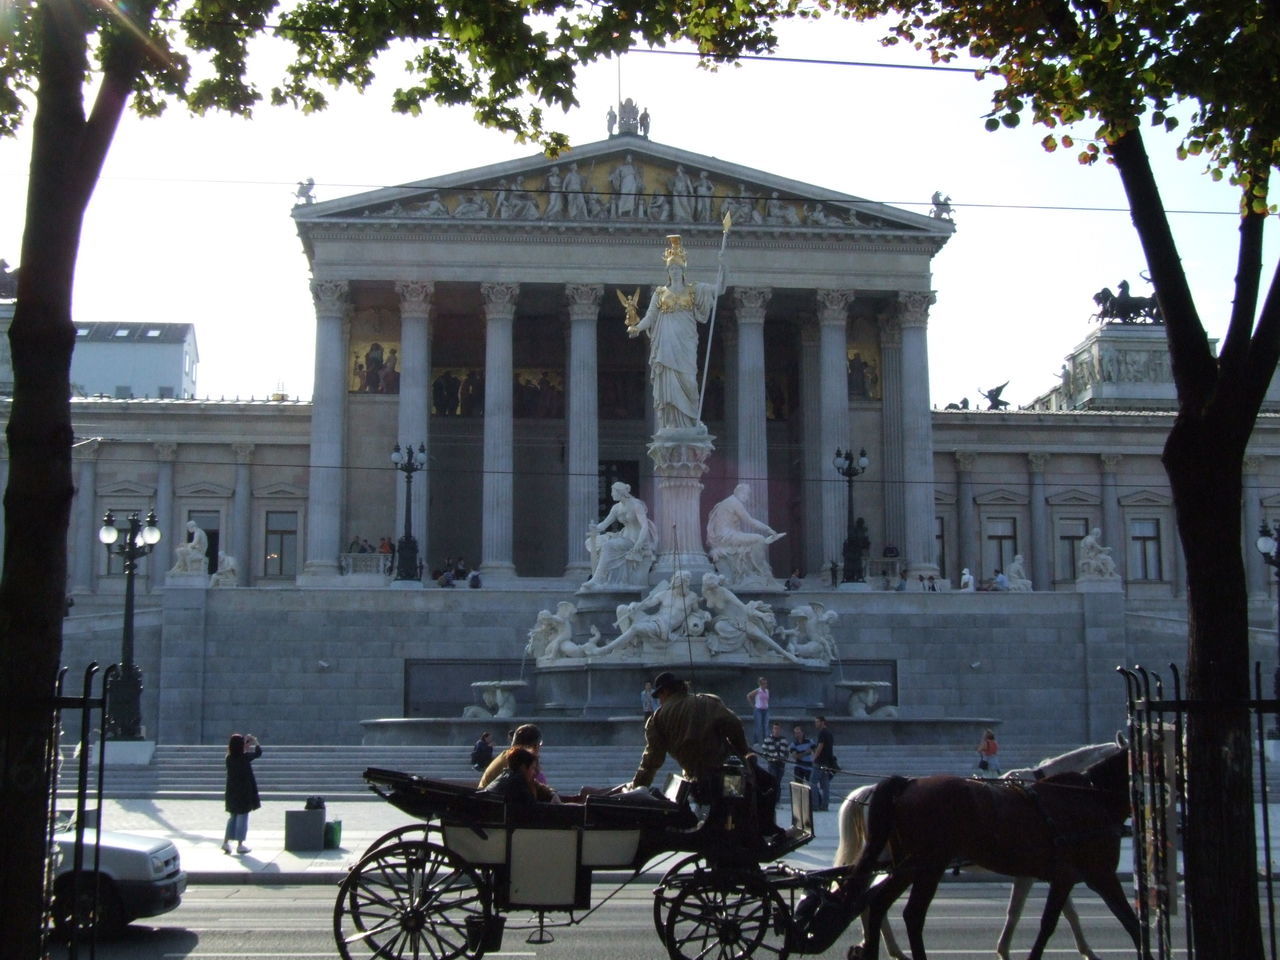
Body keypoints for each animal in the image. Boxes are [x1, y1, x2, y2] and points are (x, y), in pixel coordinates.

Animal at [844, 752, 1146, 960]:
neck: (1090, 797)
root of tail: (907, 783)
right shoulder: (1090, 874)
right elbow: (1057, 921)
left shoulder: (1068, 876)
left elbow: (1042, 916)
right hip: (927, 864)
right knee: (909, 913)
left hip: (908, 864)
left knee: (878, 903)